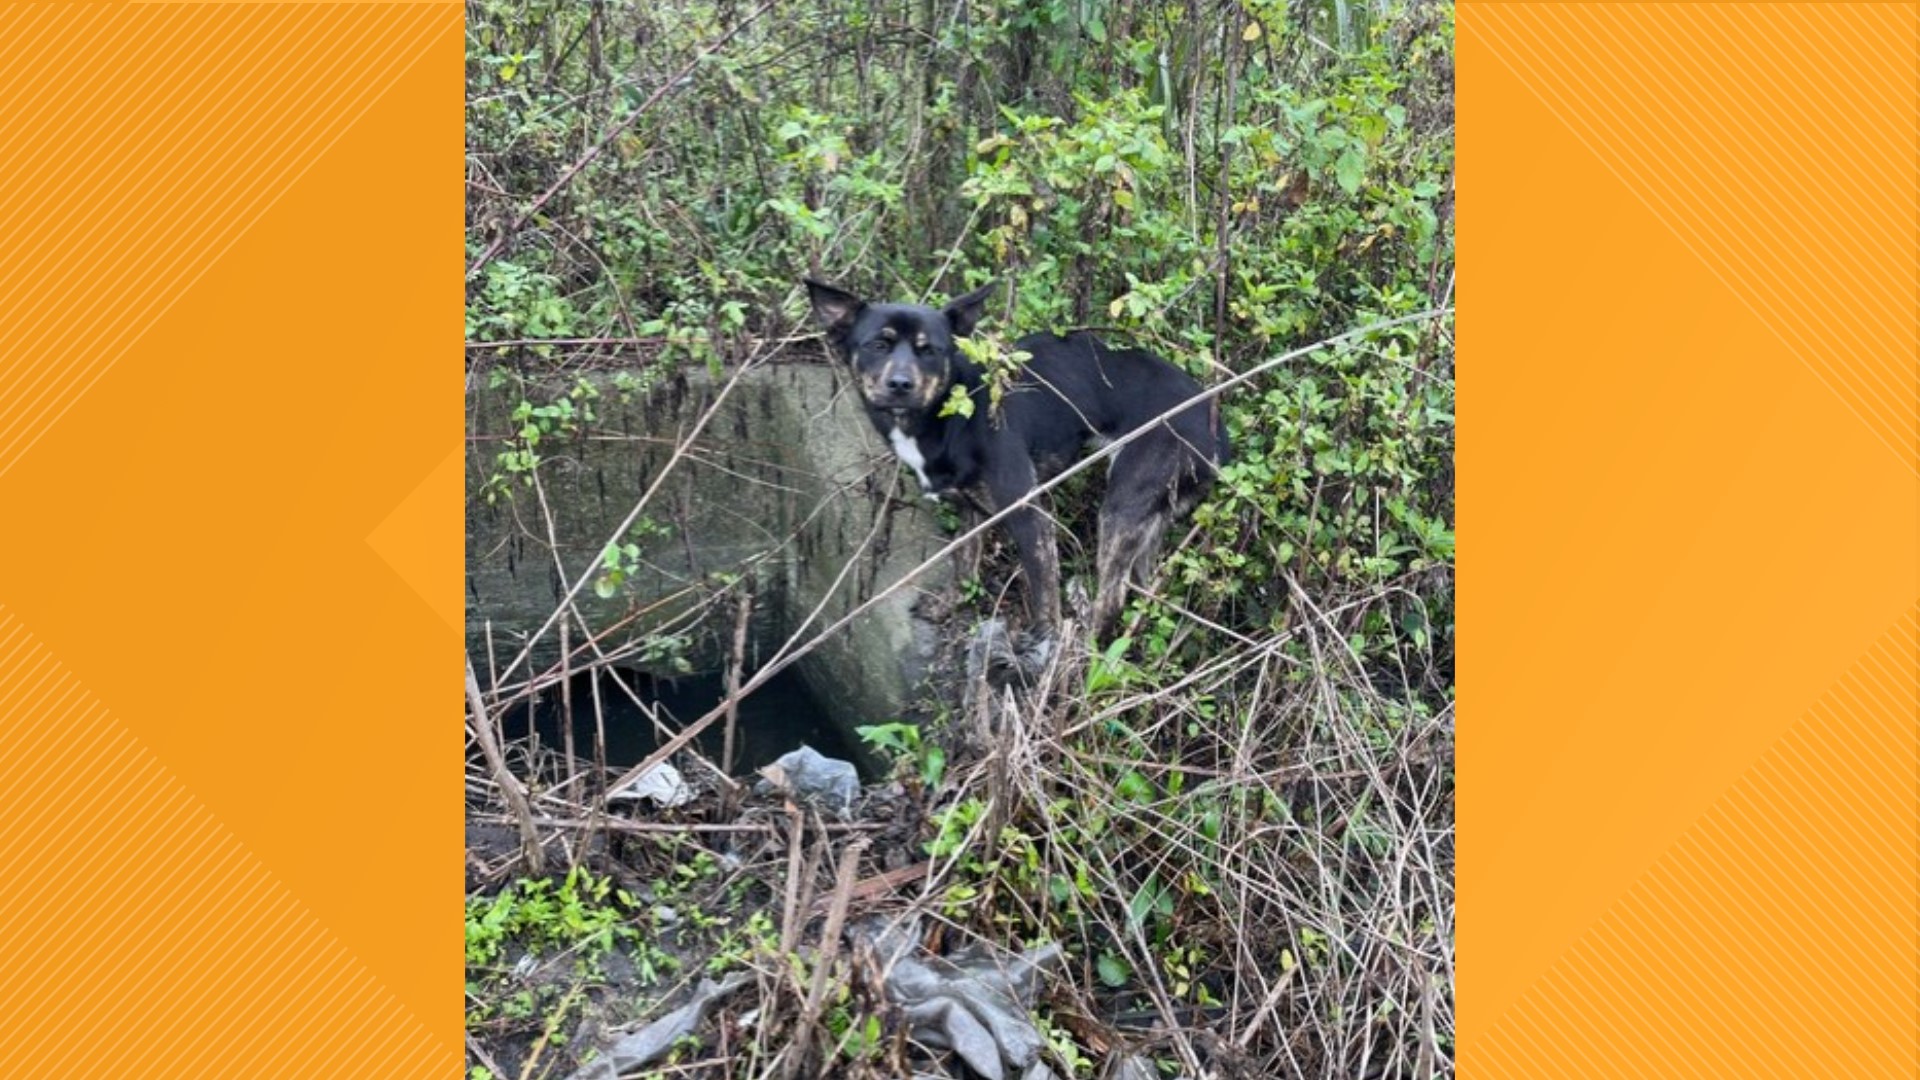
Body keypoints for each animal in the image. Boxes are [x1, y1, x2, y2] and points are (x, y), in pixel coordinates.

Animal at [806, 276, 1228, 641]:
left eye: (929, 351)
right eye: (878, 345)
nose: (900, 385)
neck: (952, 412)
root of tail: (1215, 426)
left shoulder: (1031, 516)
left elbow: (1043, 590)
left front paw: (1045, 641)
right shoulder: (969, 509)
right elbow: (964, 564)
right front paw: (947, 608)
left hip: (1121, 509)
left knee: (1111, 599)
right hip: (1149, 520)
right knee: (1143, 587)